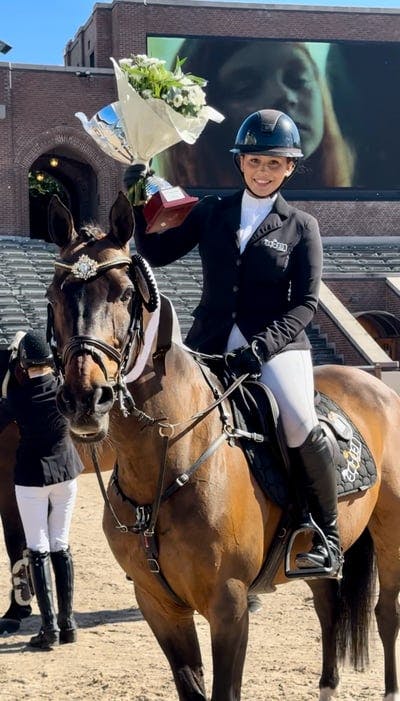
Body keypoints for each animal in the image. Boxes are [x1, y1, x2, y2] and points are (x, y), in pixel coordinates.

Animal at [46, 189, 400, 696]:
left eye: (126, 294)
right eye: (55, 294)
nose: (84, 399)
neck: (167, 465)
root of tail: (374, 385)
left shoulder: (228, 606)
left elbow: (224, 690)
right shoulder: (158, 605)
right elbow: (190, 686)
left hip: (392, 531)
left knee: (386, 611)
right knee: (329, 606)